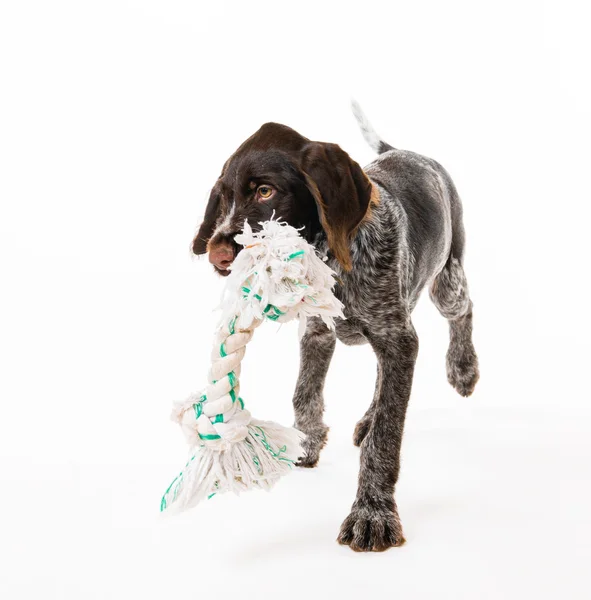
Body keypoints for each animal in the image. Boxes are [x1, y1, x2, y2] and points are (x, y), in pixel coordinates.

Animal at [194, 104, 480, 552]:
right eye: (223, 195)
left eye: (265, 192)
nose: (217, 254)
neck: (332, 258)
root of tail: (405, 151)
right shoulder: (317, 332)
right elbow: (305, 394)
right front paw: (305, 445)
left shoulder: (396, 336)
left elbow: (386, 437)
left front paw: (373, 513)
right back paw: (368, 416)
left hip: (446, 280)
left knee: (463, 308)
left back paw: (463, 368)